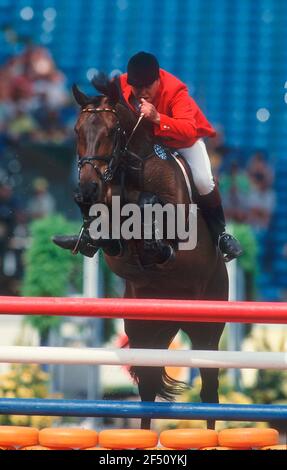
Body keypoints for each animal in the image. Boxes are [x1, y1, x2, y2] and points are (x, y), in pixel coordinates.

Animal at [71, 77, 228, 430]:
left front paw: (155, 239)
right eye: (77, 131)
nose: (86, 191)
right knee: (148, 388)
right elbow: (111, 232)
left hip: (207, 328)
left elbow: (149, 207)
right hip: (145, 330)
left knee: (209, 391)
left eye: (111, 131)